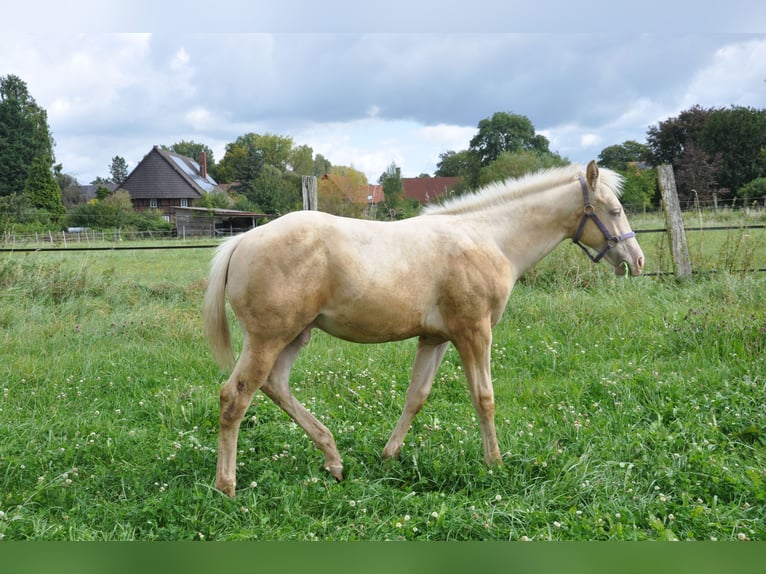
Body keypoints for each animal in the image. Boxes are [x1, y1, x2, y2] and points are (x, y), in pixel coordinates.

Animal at [203, 160, 644, 497]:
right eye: (613, 210)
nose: (637, 261)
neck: (489, 239)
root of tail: (242, 241)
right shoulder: (474, 333)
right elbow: (484, 398)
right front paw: (495, 463)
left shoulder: (436, 339)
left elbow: (416, 396)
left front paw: (389, 455)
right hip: (268, 339)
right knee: (234, 398)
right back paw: (227, 486)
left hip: (295, 336)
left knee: (275, 385)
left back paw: (334, 460)